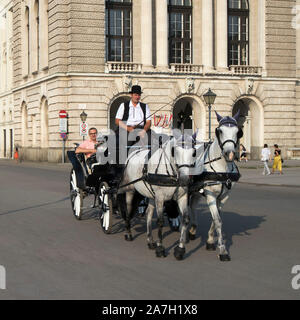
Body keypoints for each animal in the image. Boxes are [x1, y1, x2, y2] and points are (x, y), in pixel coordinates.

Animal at [190, 111, 244, 262]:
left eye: (238, 132)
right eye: (220, 131)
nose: (230, 154)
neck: (222, 169)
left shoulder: (223, 197)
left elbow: (216, 219)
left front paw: (209, 241)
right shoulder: (210, 195)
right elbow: (218, 221)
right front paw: (223, 251)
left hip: (196, 191)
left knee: (193, 205)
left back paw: (192, 228)